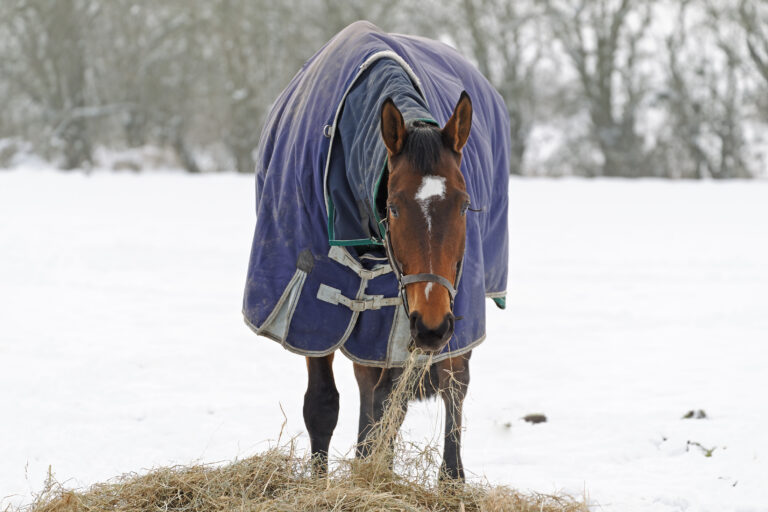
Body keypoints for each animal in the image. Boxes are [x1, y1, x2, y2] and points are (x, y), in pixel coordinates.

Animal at [243, 21, 510, 482]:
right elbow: (324, 405)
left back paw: (450, 478)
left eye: (463, 204)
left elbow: (392, 401)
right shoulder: (314, 310)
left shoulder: (405, 311)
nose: (433, 326)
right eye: (395, 206)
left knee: (453, 385)